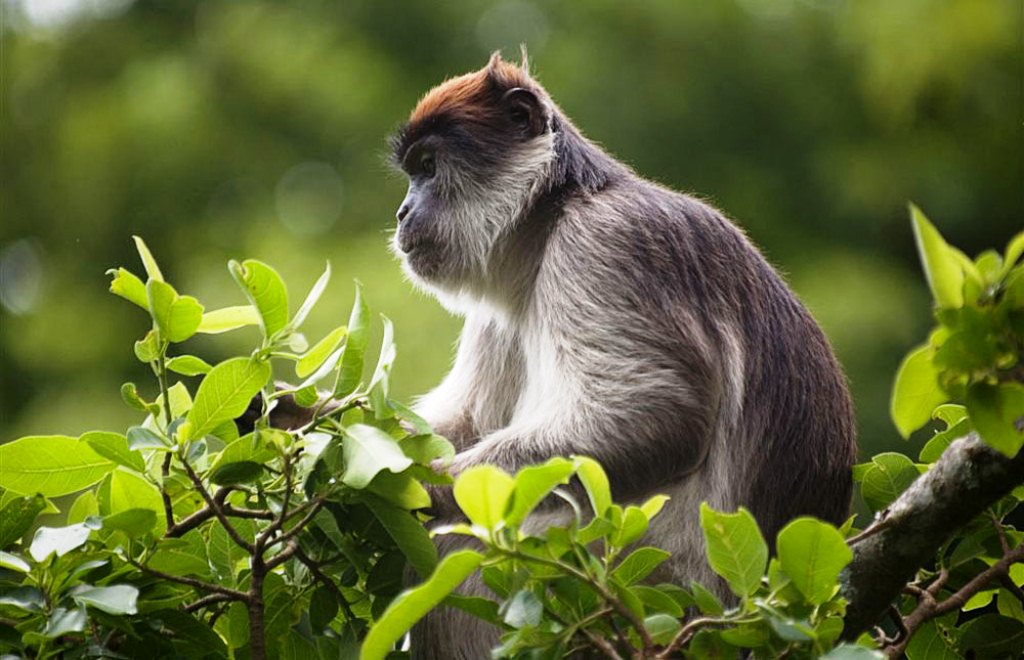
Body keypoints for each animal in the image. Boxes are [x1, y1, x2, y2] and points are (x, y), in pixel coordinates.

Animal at [386, 52, 857, 658]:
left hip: (655, 583)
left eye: (428, 166)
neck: (552, 216)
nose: (403, 211)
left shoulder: (606, 243)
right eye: (412, 173)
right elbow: (468, 422)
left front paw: (418, 487)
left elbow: (660, 412)